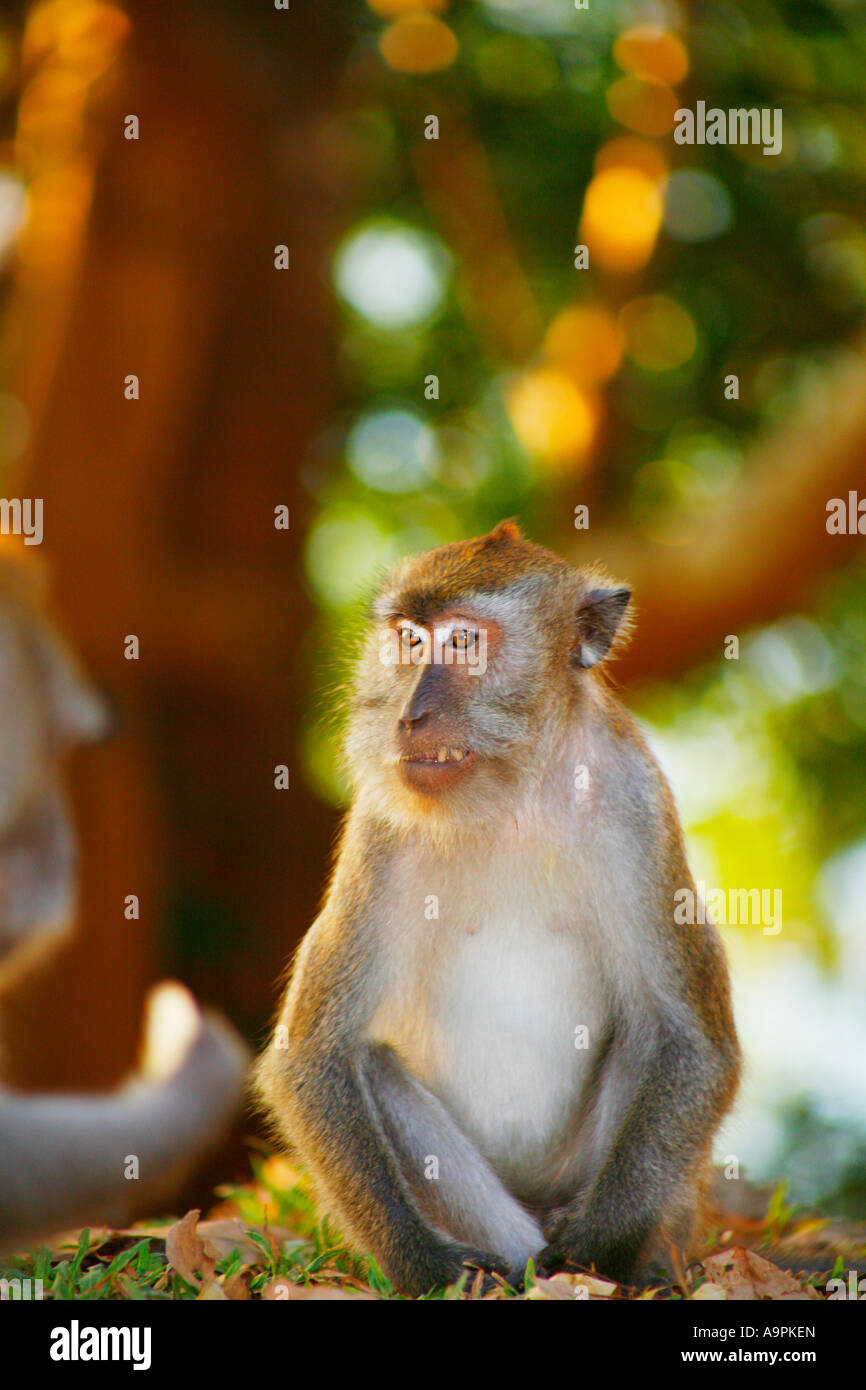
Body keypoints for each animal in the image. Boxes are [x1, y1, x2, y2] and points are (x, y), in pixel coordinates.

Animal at [255, 521, 740, 1297]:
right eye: (409, 640)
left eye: (463, 642)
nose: (409, 715)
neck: (513, 794)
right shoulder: (380, 828)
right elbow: (314, 1057)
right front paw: (427, 1266)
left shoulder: (635, 799)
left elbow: (694, 1043)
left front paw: (595, 1249)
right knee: (375, 1069)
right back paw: (513, 1269)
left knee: (647, 1031)